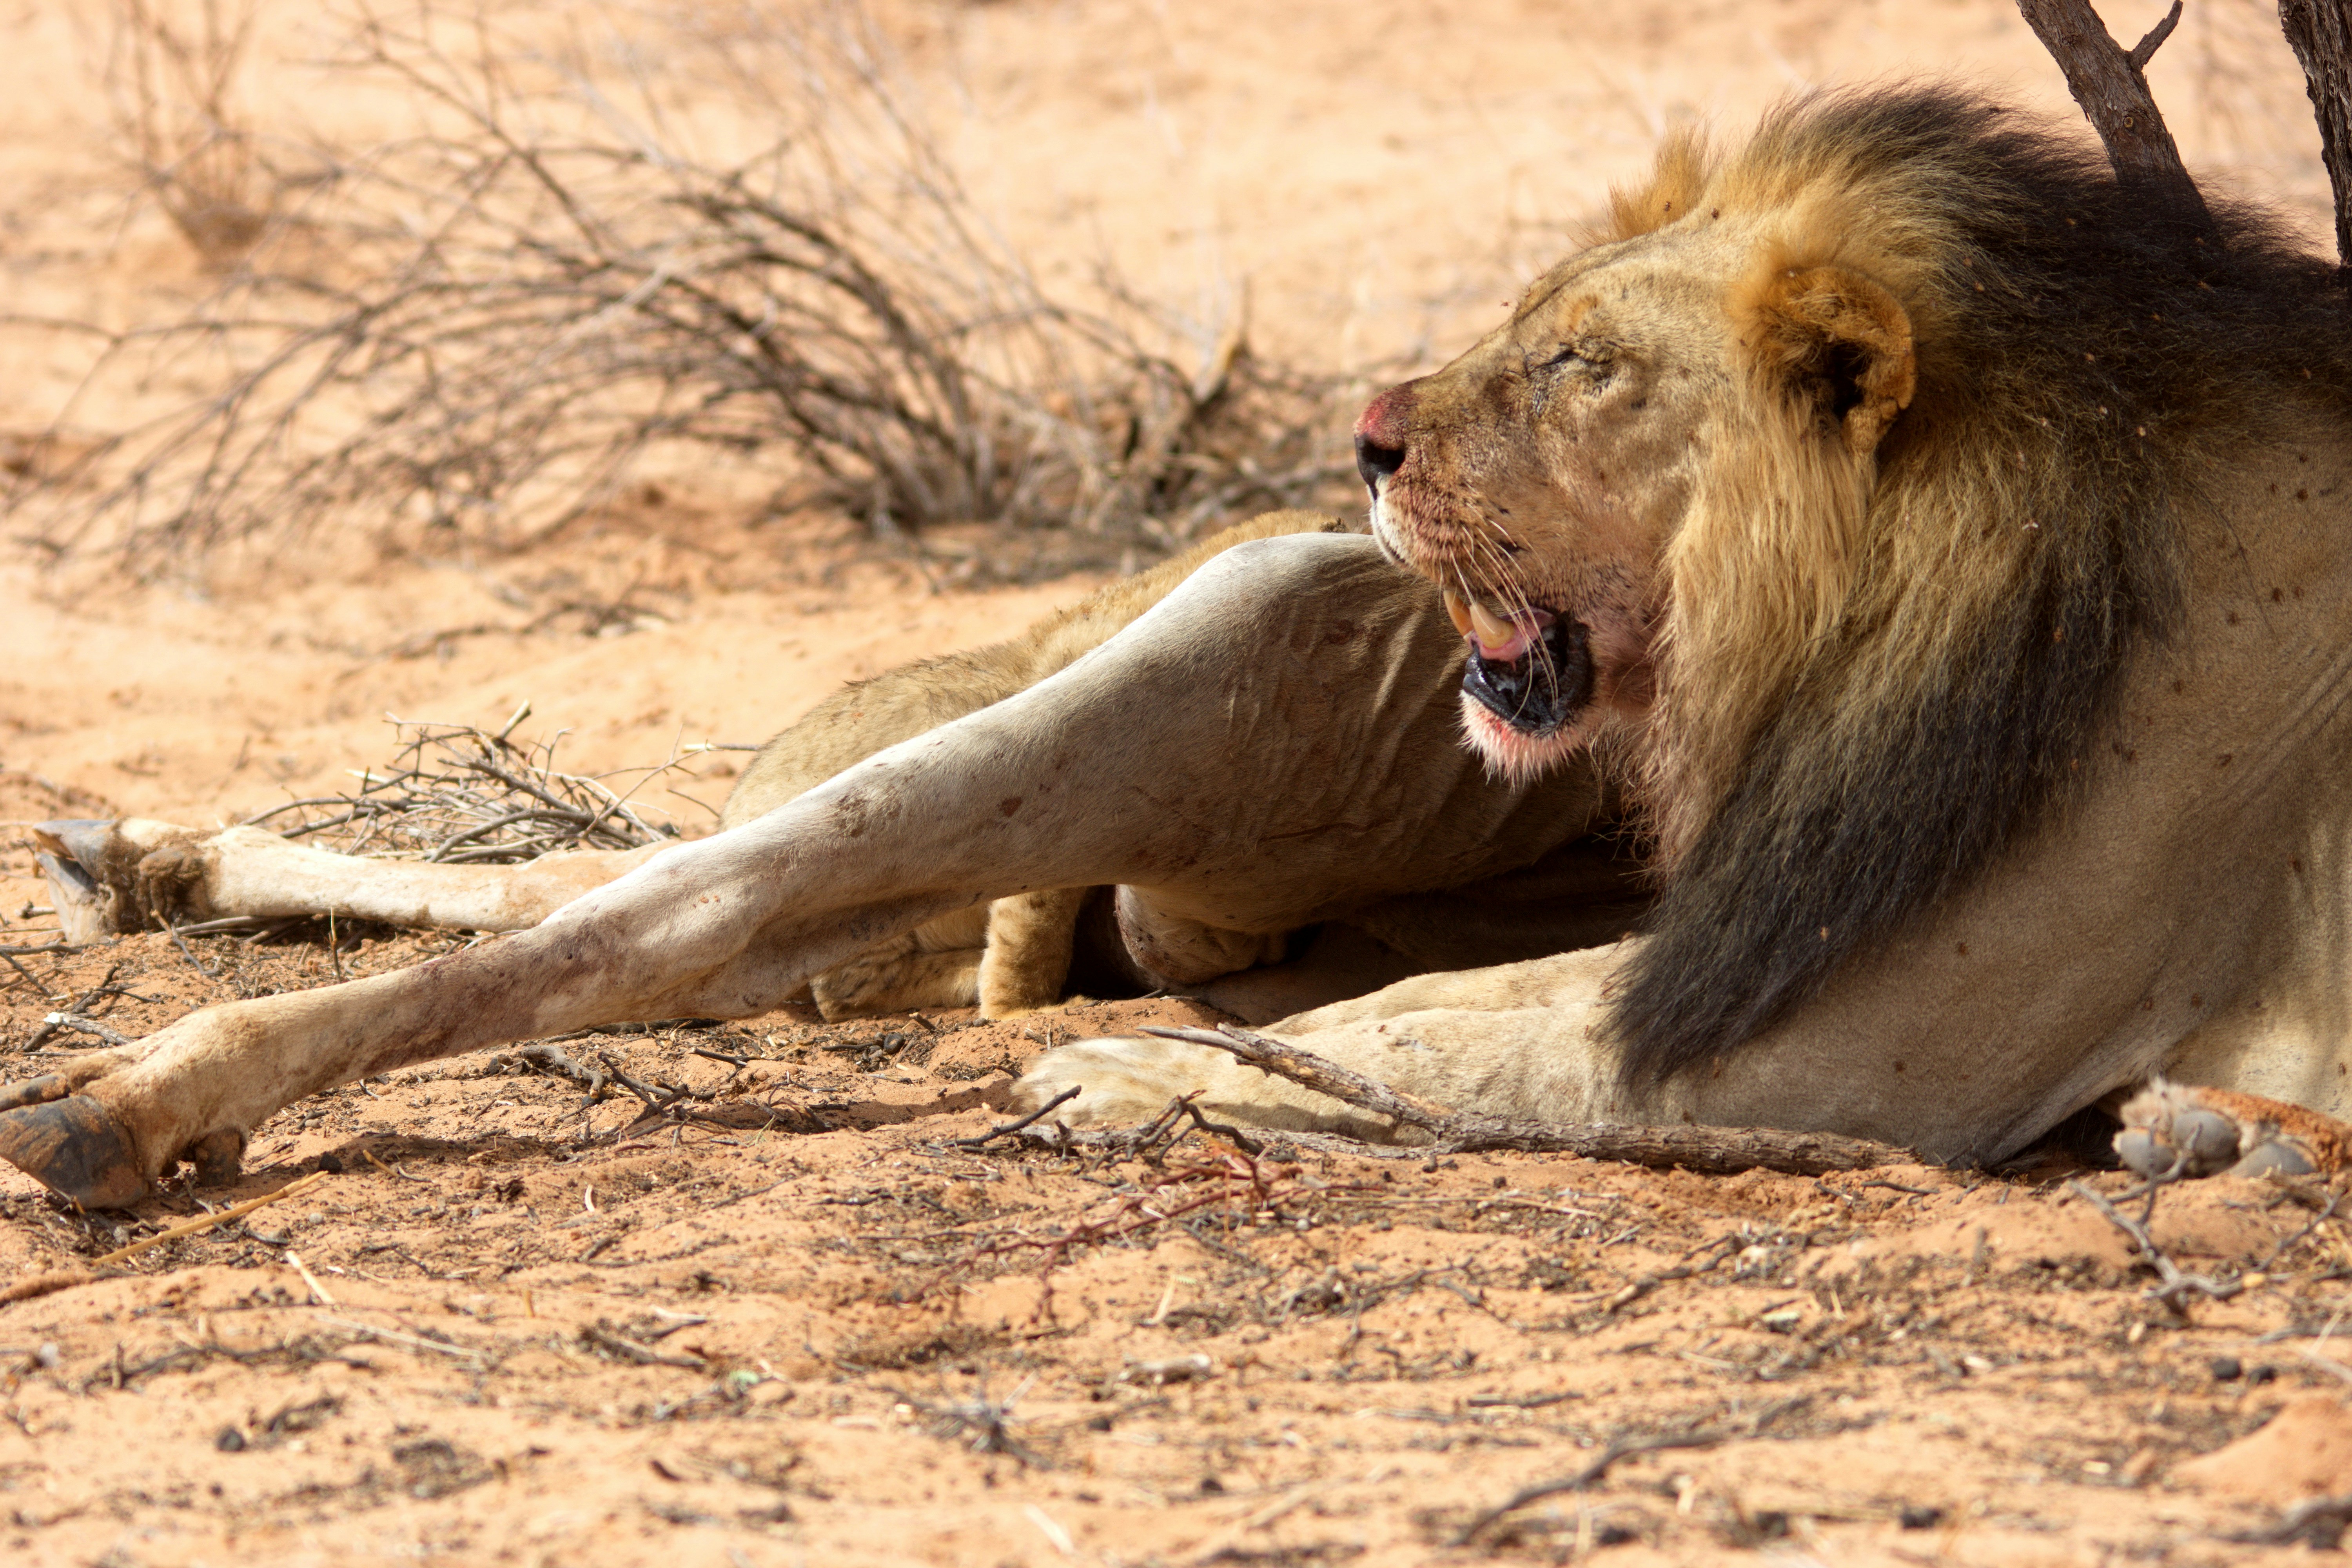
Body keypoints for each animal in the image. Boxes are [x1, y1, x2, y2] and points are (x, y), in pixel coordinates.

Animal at [6, 84, 2350, 1210]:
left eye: (1577, 366)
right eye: (1531, 318)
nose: (1371, 433)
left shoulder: (1850, 1040)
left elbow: (1432, 1039)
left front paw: (1126, 1083)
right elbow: (1417, 1033)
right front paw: (1138, 1079)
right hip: (1269, 622)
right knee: (702, 885)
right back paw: (132, 1007)